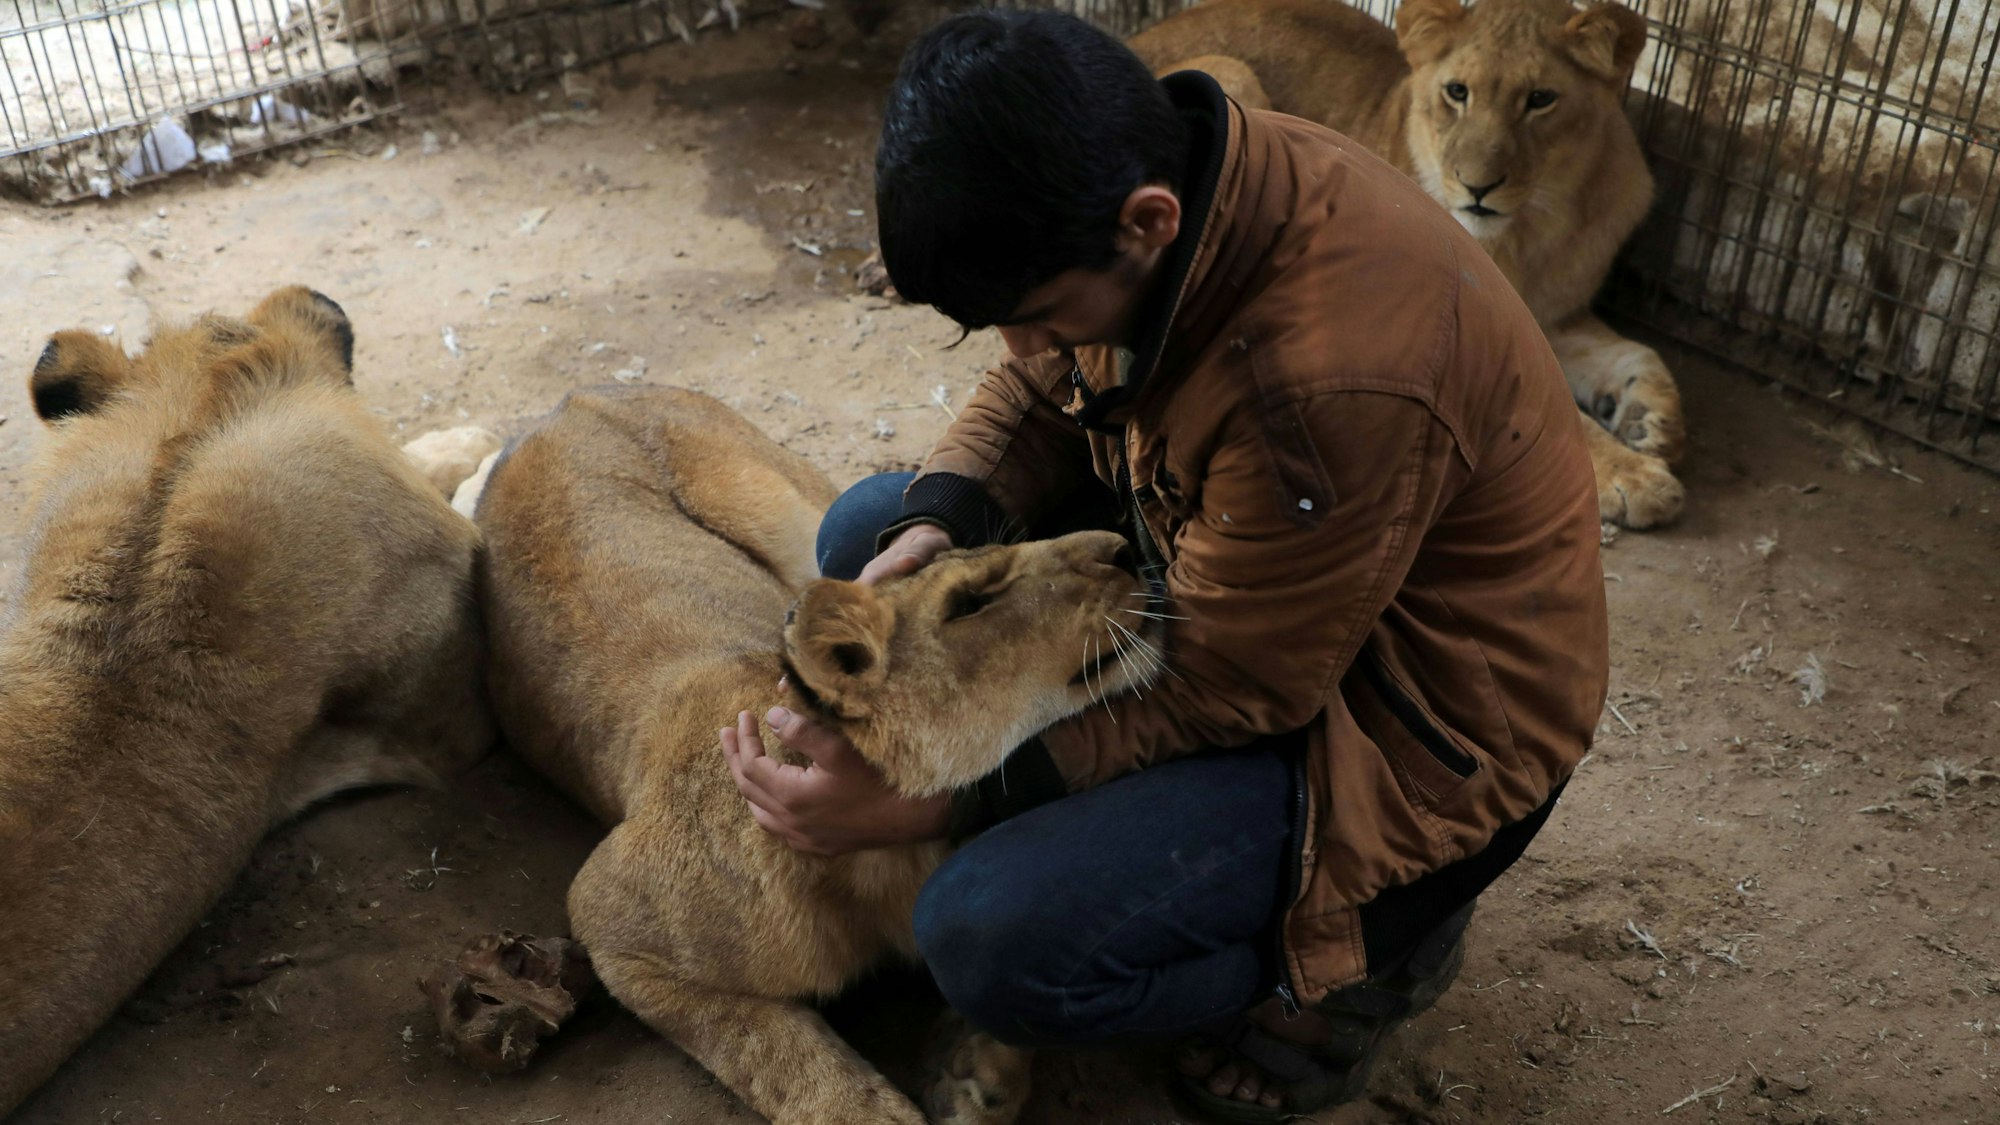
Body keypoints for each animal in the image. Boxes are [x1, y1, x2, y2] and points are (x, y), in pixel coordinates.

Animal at [470, 384, 1161, 1124]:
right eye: (970, 603)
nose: (1123, 546)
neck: (890, 860)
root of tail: (569, 400)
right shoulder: (608, 917)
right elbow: (769, 1048)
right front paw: (895, 1105)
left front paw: (974, 1075)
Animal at [1131, 0, 1688, 528]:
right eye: (1457, 92)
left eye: (1540, 99)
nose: (1478, 187)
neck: (1535, 233)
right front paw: (1635, 478)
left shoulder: (1554, 311)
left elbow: (1636, 353)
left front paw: (1649, 419)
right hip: (1230, 80)